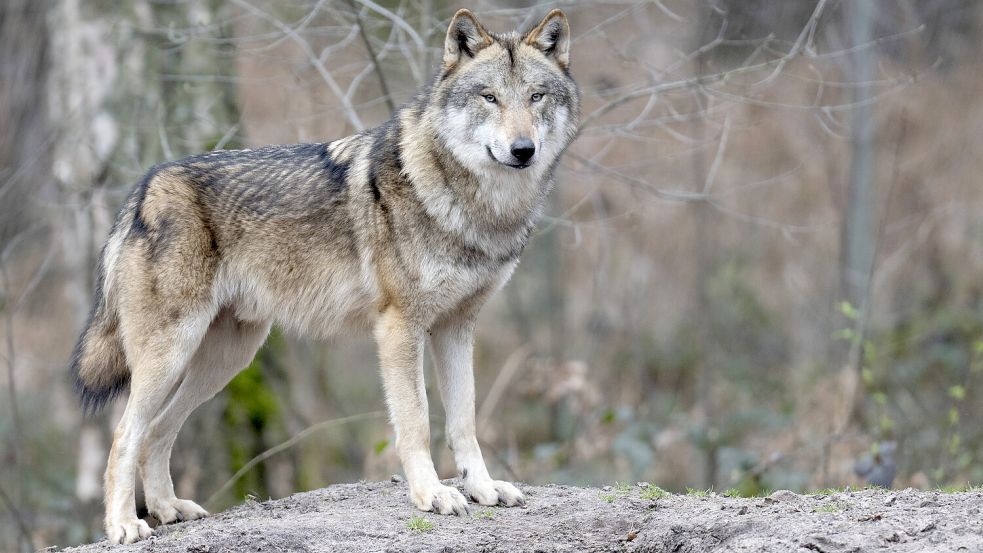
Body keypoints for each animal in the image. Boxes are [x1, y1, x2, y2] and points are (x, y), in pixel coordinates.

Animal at [71, 8, 576, 544]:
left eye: (536, 96)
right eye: (489, 97)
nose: (523, 149)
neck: (475, 207)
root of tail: (144, 187)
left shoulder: (457, 328)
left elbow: (464, 421)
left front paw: (481, 488)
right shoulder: (400, 327)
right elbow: (417, 421)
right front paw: (432, 495)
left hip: (225, 360)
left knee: (158, 431)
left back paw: (169, 510)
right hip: (172, 355)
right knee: (126, 434)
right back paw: (124, 525)